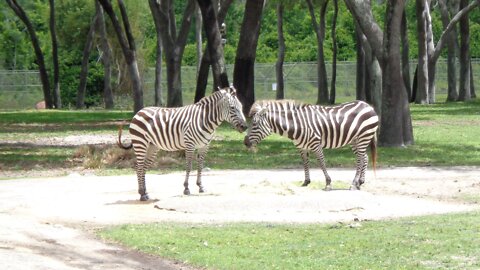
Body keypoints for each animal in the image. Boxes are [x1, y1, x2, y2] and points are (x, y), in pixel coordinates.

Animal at [118, 86, 248, 200]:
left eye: (241, 107)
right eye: (232, 108)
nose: (245, 127)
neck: (204, 119)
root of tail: (139, 111)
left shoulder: (204, 146)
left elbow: (200, 165)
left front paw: (200, 186)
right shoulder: (190, 144)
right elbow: (189, 166)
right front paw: (186, 188)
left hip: (152, 146)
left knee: (144, 167)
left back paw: (145, 192)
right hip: (140, 143)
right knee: (139, 167)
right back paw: (142, 194)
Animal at [244, 100, 378, 191]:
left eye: (255, 124)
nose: (245, 143)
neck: (297, 125)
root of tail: (368, 106)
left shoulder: (315, 144)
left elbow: (321, 162)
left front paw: (328, 183)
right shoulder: (302, 147)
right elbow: (305, 163)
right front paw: (306, 181)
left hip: (364, 137)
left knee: (360, 159)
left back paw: (354, 183)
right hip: (355, 140)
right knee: (364, 157)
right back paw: (360, 182)